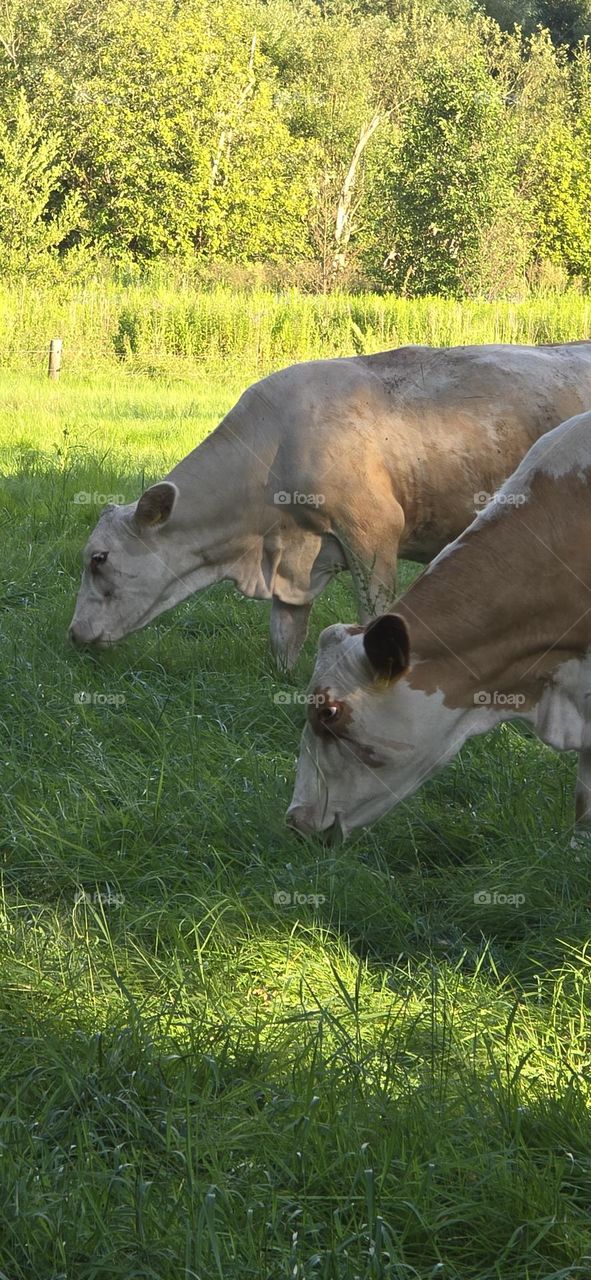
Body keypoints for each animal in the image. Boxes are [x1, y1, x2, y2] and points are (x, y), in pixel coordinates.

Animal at [68, 343, 591, 669]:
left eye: (99, 559)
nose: (73, 634)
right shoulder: (293, 554)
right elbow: (284, 634)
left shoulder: (373, 530)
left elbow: (375, 614)